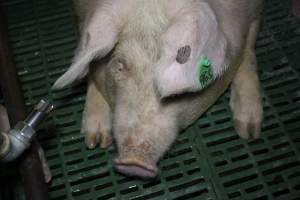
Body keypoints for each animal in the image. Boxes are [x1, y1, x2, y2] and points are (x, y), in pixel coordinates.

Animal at [52, 0, 264, 178]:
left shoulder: (254, 14)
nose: (133, 161)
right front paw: (94, 141)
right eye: (120, 65)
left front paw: (248, 132)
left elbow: (248, 53)